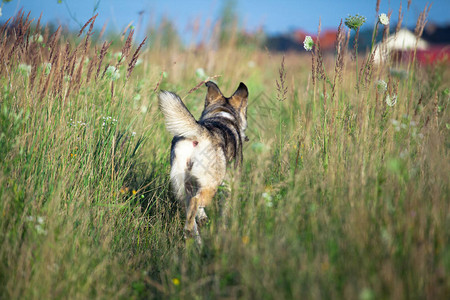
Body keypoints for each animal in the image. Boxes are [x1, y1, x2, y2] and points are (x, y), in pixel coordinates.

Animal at [159, 81, 250, 244]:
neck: (222, 114)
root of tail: (200, 133)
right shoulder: (229, 187)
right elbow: (225, 211)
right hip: (211, 185)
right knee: (195, 202)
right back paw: (192, 232)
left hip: (183, 185)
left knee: (190, 207)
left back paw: (195, 237)